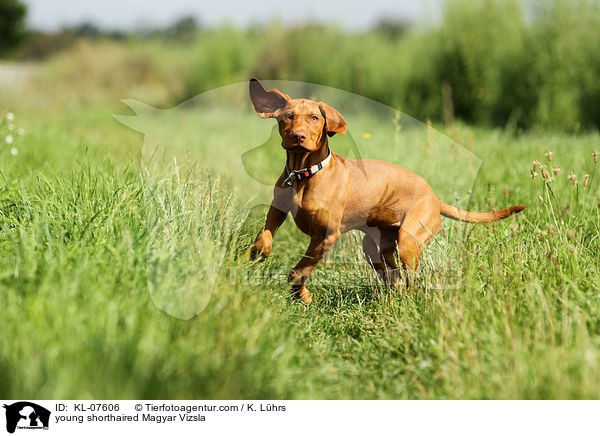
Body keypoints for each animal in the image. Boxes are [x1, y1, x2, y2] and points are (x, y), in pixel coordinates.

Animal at [248, 78, 524, 304]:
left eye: (315, 118)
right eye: (288, 116)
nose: (298, 136)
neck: (304, 174)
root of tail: (434, 198)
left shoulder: (326, 236)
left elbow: (300, 270)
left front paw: (302, 295)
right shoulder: (277, 210)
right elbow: (265, 235)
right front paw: (257, 253)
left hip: (409, 241)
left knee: (410, 280)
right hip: (376, 247)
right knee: (394, 278)